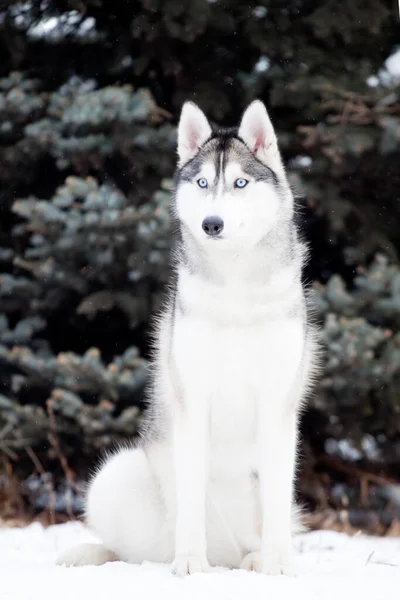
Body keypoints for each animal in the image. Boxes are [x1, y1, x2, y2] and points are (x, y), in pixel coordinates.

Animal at [56, 99, 318, 576]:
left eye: (239, 182)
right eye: (202, 183)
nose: (212, 223)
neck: (235, 285)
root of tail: (227, 556)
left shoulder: (277, 403)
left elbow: (275, 496)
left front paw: (278, 566)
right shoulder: (194, 399)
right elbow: (192, 494)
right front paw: (192, 562)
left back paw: (256, 558)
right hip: (114, 475)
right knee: (130, 549)